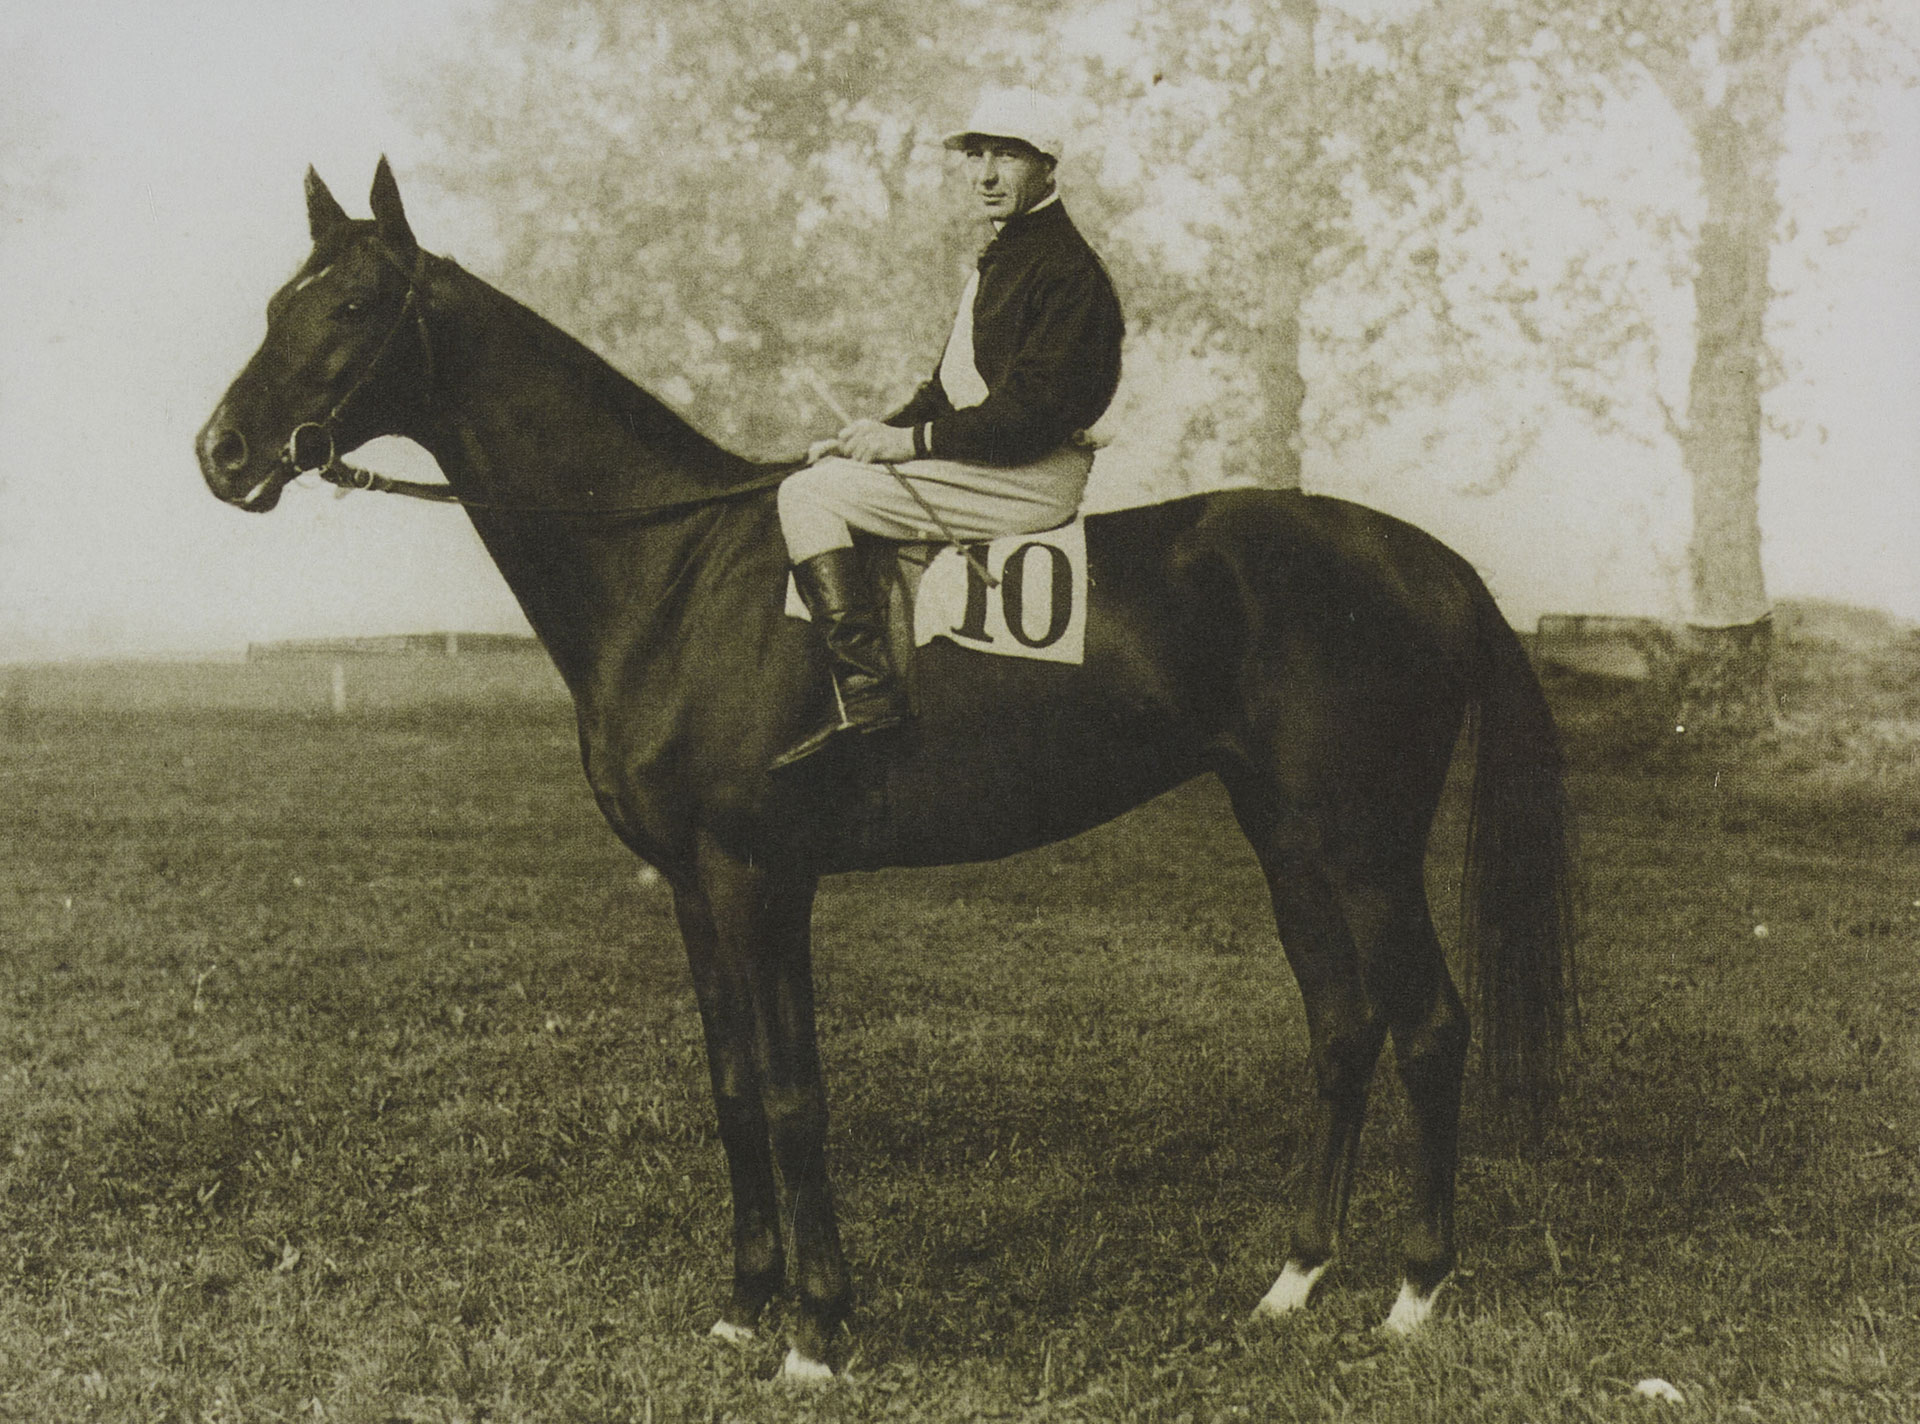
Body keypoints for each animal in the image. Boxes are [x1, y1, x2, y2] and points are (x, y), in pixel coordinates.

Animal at [194, 159, 1574, 1381]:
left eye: (352, 306)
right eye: (271, 301)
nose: (223, 452)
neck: (677, 574)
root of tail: (1430, 561)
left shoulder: (760, 874)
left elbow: (793, 1091)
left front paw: (814, 1330)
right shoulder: (695, 885)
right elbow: (734, 1086)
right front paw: (746, 1306)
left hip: (1365, 842)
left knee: (1430, 1025)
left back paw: (1413, 1293)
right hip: (1284, 831)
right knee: (1342, 1025)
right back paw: (1294, 1278)